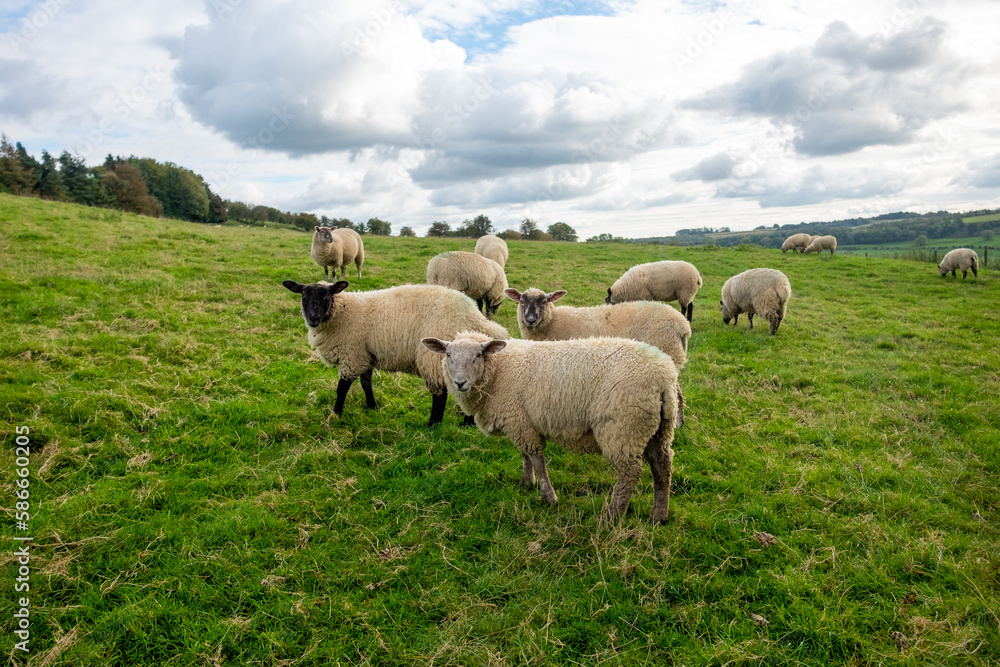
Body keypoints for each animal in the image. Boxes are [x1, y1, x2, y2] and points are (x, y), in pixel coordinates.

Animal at [282, 280, 508, 426]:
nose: (313, 317)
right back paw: (467, 423)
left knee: (440, 393)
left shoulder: (352, 355)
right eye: (303, 295)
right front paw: (372, 407)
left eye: (327, 295)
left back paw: (433, 425)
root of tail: (475, 317)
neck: (343, 311)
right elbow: (366, 383)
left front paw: (336, 413)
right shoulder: (365, 354)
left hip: (434, 356)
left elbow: (342, 387)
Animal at [421, 332, 679, 523]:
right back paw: (659, 517)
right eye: (448, 354)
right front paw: (526, 483)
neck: (499, 371)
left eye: (478, 355)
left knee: (629, 474)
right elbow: (524, 456)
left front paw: (549, 497)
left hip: (623, 429)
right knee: (663, 467)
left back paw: (611, 517)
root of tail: (664, 377)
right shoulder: (520, 422)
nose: (459, 382)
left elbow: (536, 459)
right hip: (659, 429)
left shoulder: (520, 422)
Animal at [506, 287, 690, 427]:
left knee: (678, 394)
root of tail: (683, 325)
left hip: (668, 354)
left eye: (544, 302)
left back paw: (678, 424)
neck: (553, 321)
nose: (530, 320)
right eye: (522, 301)